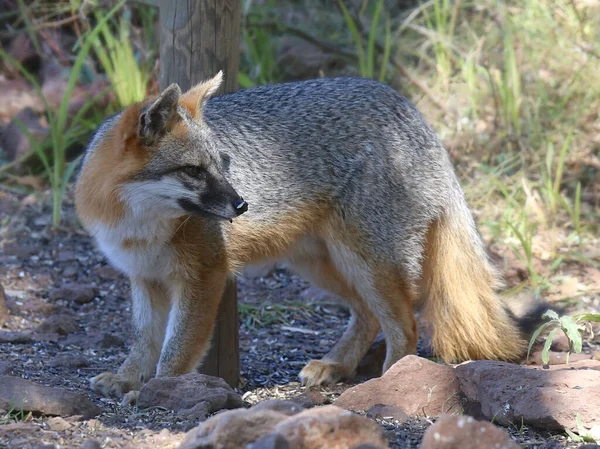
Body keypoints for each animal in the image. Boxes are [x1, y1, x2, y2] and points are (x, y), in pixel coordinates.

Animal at [74, 72, 536, 400]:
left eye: (224, 164)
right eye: (193, 171)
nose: (242, 205)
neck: (136, 226)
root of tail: (407, 107)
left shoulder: (204, 276)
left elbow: (177, 347)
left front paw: (161, 388)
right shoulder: (144, 278)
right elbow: (143, 340)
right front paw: (128, 378)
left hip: (367, 262)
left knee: (405, 325)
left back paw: (389, 381)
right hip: (321, 264)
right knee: (368, 316)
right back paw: (336, 365)